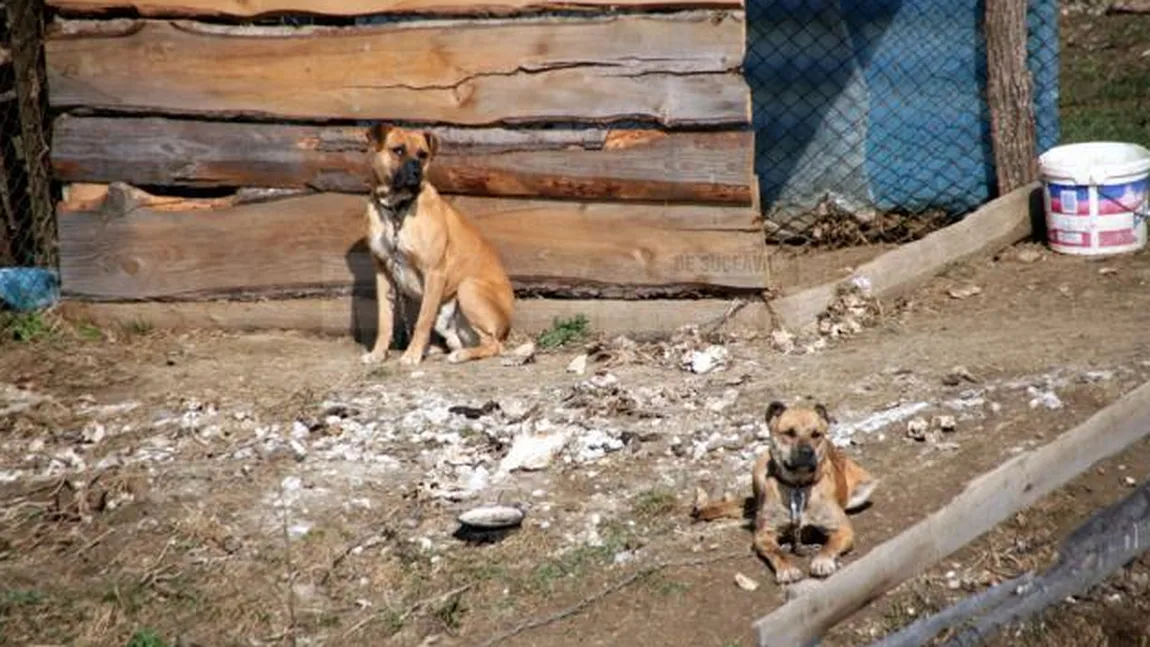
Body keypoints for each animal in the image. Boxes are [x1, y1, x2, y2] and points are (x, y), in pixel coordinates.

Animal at [361, 125, 515, 370]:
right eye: (398, 150)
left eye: (422, 155)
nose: (416, 171)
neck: (396, 210)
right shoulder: (383, 273)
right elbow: (385, 321)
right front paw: (378, 354)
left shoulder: (434, 272)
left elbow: (422, 321)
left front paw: (412, 355)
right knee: (459, 341)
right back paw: (437, 349)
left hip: (468, 288)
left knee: (493, 345)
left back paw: (459, 355)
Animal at [694, 402, 874, 583]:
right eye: (789, 433)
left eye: (816, 434)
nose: (807, 452)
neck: (798, 486)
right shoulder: (763, 535)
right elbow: (777, 552)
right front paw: (787, 569)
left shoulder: (843, 530)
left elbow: (829, 546)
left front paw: (822, 561)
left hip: (865, 485)